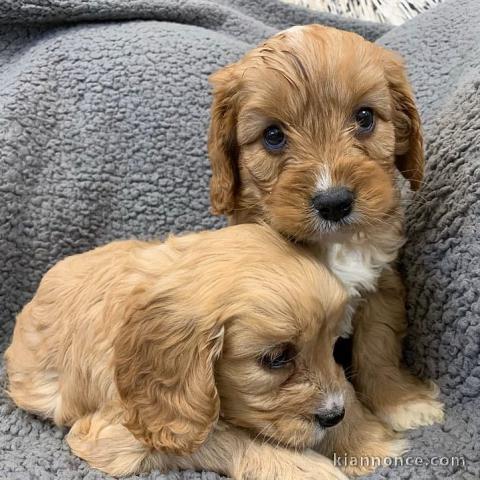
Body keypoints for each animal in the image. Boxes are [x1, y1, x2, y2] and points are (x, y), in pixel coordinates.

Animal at [5, 225, 400, 480]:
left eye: (334, 345)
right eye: (276, 359)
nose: (333, 415)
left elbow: (345, 386)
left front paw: (363, 439)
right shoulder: (118, 436)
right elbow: (222, 436)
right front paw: (302, 467)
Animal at [208, 24, 444, 436]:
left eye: (364, 117)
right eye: (273, 135)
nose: (334, 202)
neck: (333, 246)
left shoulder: (381, 286)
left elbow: (378, 348)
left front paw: (401, 401)